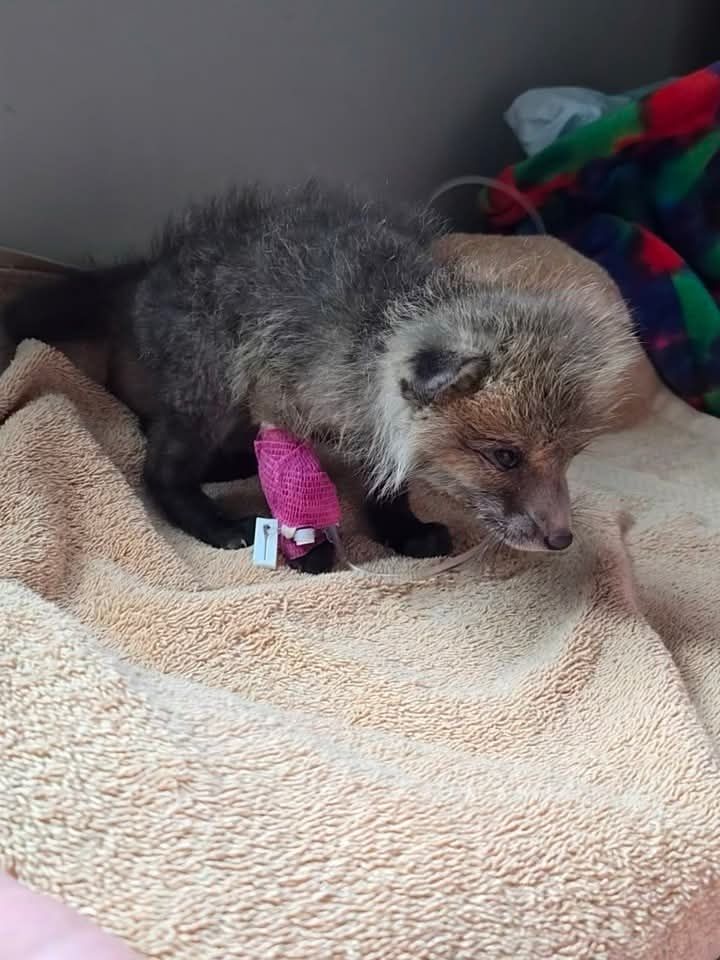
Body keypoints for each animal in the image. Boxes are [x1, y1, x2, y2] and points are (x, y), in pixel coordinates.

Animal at [0, 181, 641, 573]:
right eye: (505, 457)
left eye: (569, 458)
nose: (561, 539)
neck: (373, 338)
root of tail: (150, 269)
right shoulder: (280, 404)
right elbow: (294, 490)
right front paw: (307, 550)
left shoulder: (379, 429)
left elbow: (387, 486)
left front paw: (401, 531)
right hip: (209, 390)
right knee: (157, 465)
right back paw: (213, 520)